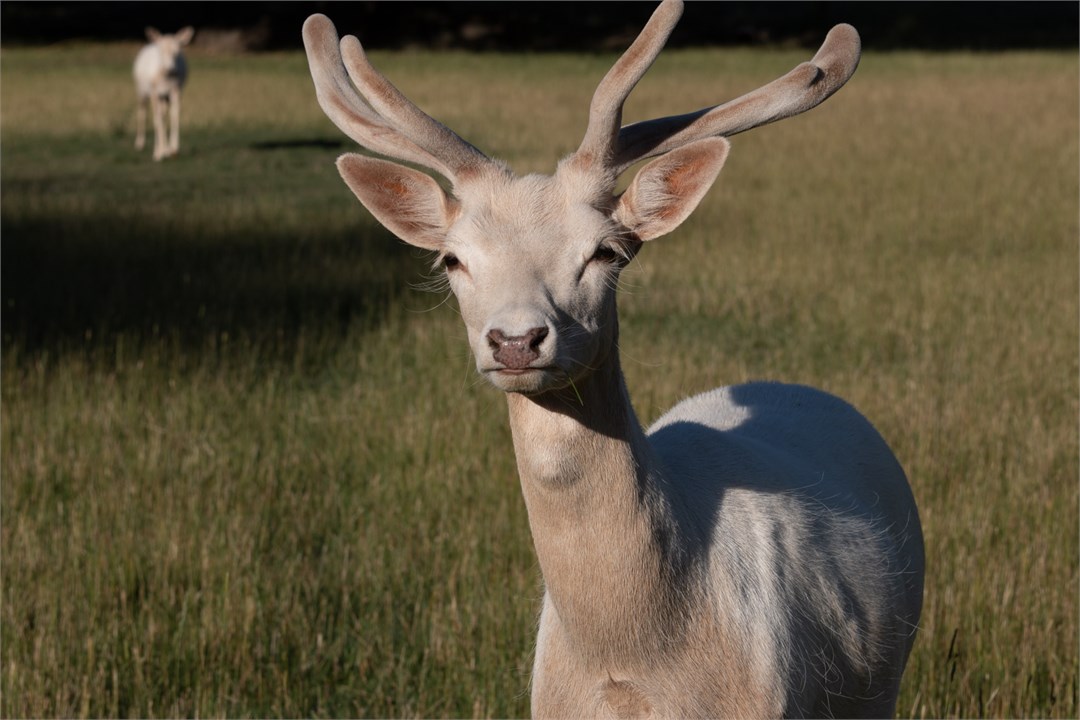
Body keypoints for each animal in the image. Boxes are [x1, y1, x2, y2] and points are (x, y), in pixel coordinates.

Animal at [133, 26, 194, 161]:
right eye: (161, 51)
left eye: (177, 51)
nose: (170, 69)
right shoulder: (154, 92)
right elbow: (157, 120)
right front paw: (159, 154)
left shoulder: (176, 90)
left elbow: (174, 115)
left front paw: (173, 150)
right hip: (141, 90)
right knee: (142, 111)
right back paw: (140, 144)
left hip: (164, 97)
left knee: (163, 113)